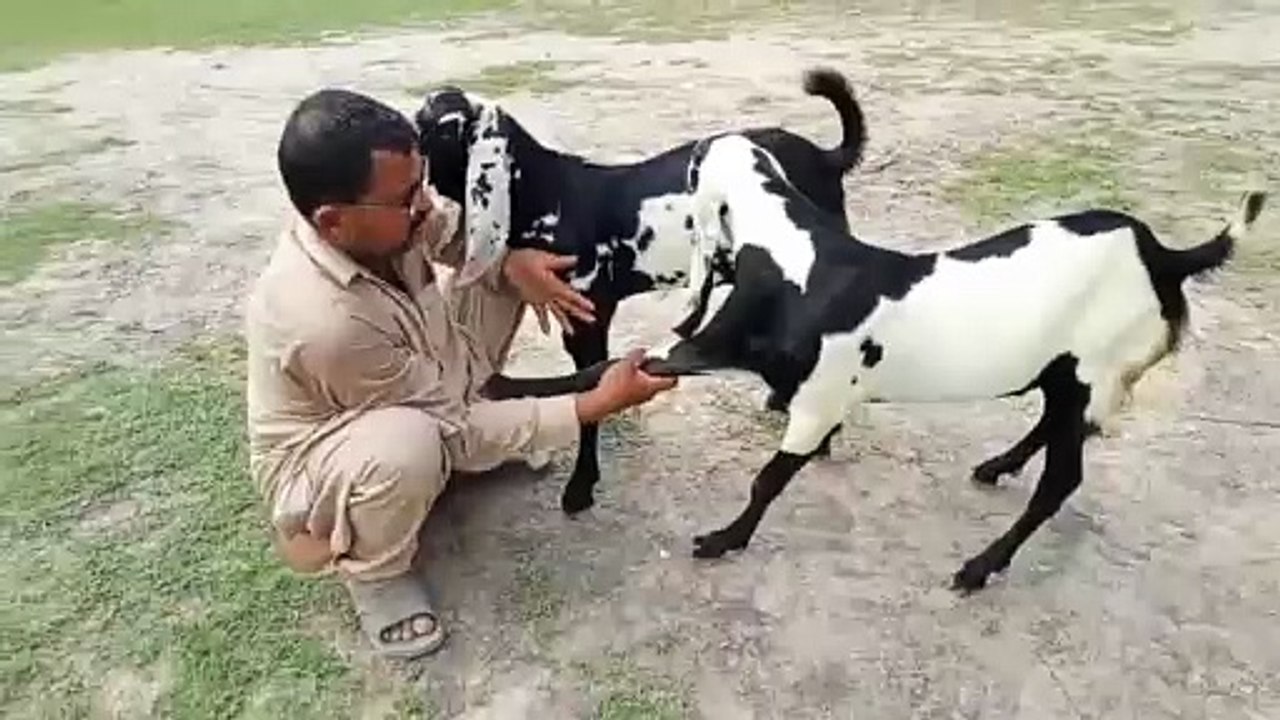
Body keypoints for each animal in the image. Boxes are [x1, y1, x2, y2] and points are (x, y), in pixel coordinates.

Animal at [643, 132, 1268, 593]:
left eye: (694, 166)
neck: (801, 262)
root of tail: (1163, 258)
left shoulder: (816, 401)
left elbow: (766, 480)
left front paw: (724, 540)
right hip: (1065, 373)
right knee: (1048, 424)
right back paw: (997, 467)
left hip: (1094, 373)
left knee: (1060, 482)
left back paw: (981, 567)